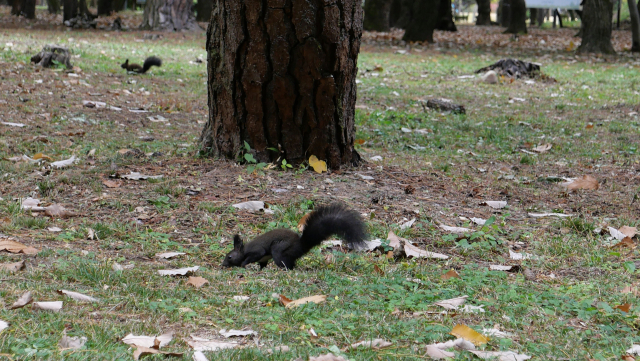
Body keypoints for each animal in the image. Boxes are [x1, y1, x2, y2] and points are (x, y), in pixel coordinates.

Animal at [224, 201, 364, 268]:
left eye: (229, 257)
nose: (223, 264)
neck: (244, 250)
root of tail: (301, 246)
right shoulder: (263, 260)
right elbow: (262, 264)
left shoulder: (257, 251)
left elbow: (256, 255)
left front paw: (243, 264)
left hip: (279, 249)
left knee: (287, 265)